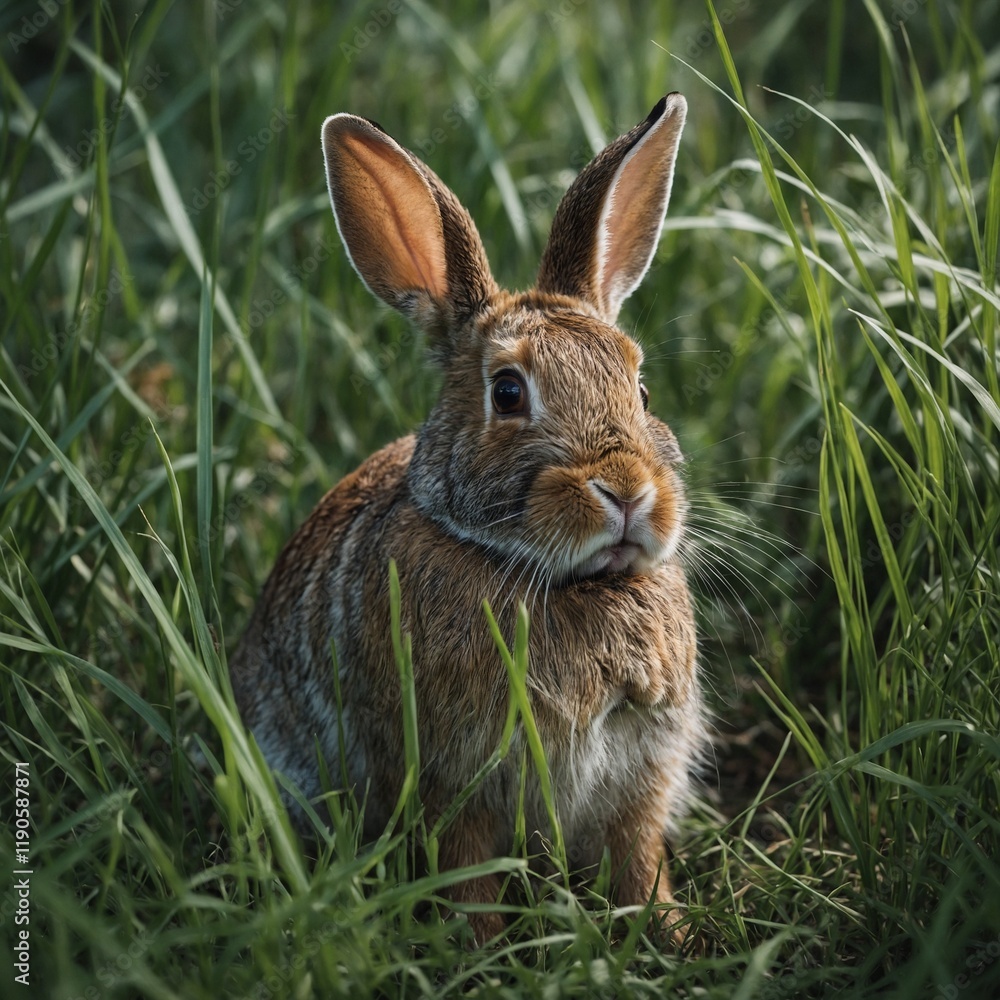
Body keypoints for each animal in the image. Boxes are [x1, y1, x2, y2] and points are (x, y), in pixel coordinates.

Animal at [230, 92, 706, 945]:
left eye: (642, 391)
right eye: (508, 393)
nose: (626, 491)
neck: (569, 584)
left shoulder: (642, 779)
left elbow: (639, 863)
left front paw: (675, 936)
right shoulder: (456, 785)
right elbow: (469, 876)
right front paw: (478, 950)